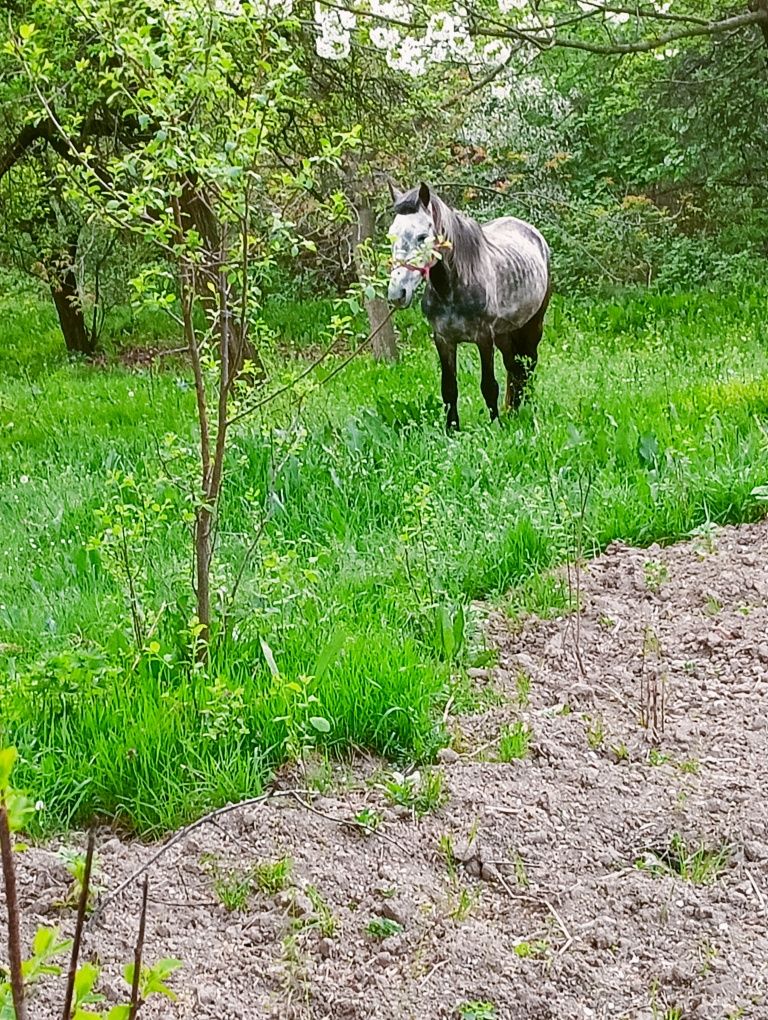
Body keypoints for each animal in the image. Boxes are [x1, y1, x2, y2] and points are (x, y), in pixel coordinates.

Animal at [385, 183, 546, 430]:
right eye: (392, 236)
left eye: (422, 236)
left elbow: (489, 386)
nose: (397, 294)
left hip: (533, 325)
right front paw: (452, 429)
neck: (452, 288)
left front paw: (496, 426)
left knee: (528, 364)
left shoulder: (483, 337)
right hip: (505, 333)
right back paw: (512, 409)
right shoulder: (443, 339)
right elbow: (449, 388)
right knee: (515, 368)